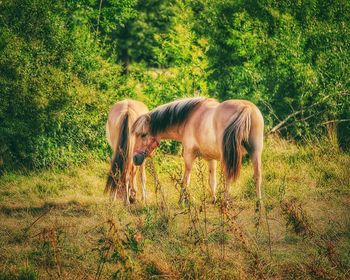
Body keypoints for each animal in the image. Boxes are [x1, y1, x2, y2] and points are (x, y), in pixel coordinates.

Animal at [131, 97, 262, 207]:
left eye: (143, 135)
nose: (135, 158)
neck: (190, 117)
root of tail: (245, 108)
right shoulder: (211, 159)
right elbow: (212, 180)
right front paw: (213, 199)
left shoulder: (189, 155)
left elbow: (186, 179)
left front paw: (182, 200)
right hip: (255, 153)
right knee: (257, 176)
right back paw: (258, 204)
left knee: (228, 177)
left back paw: (225, 202)